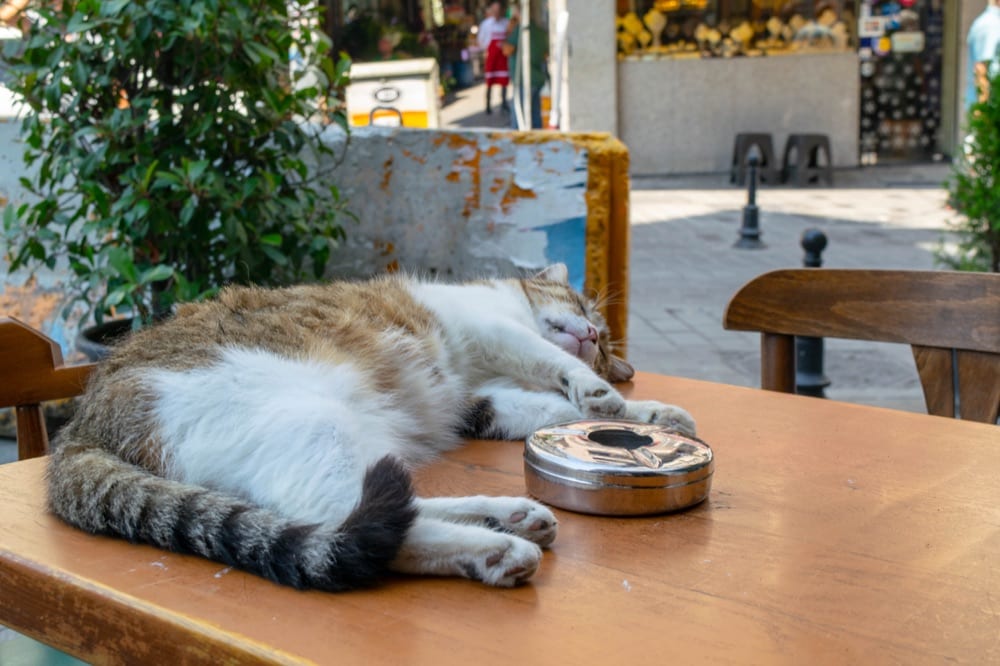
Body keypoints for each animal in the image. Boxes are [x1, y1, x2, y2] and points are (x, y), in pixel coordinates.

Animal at [48, 264, 696, 588]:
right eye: (583, 308)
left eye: (604, 340)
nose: (589, 335)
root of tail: (80, 427)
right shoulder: (491, 328)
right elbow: (555, 368)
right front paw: (607, 396)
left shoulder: (479, 400)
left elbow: (556, 407)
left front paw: (650, 414)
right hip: (310, 421)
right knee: (348, 523)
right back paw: (495, 549)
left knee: (379, 510)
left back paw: (509, 517)